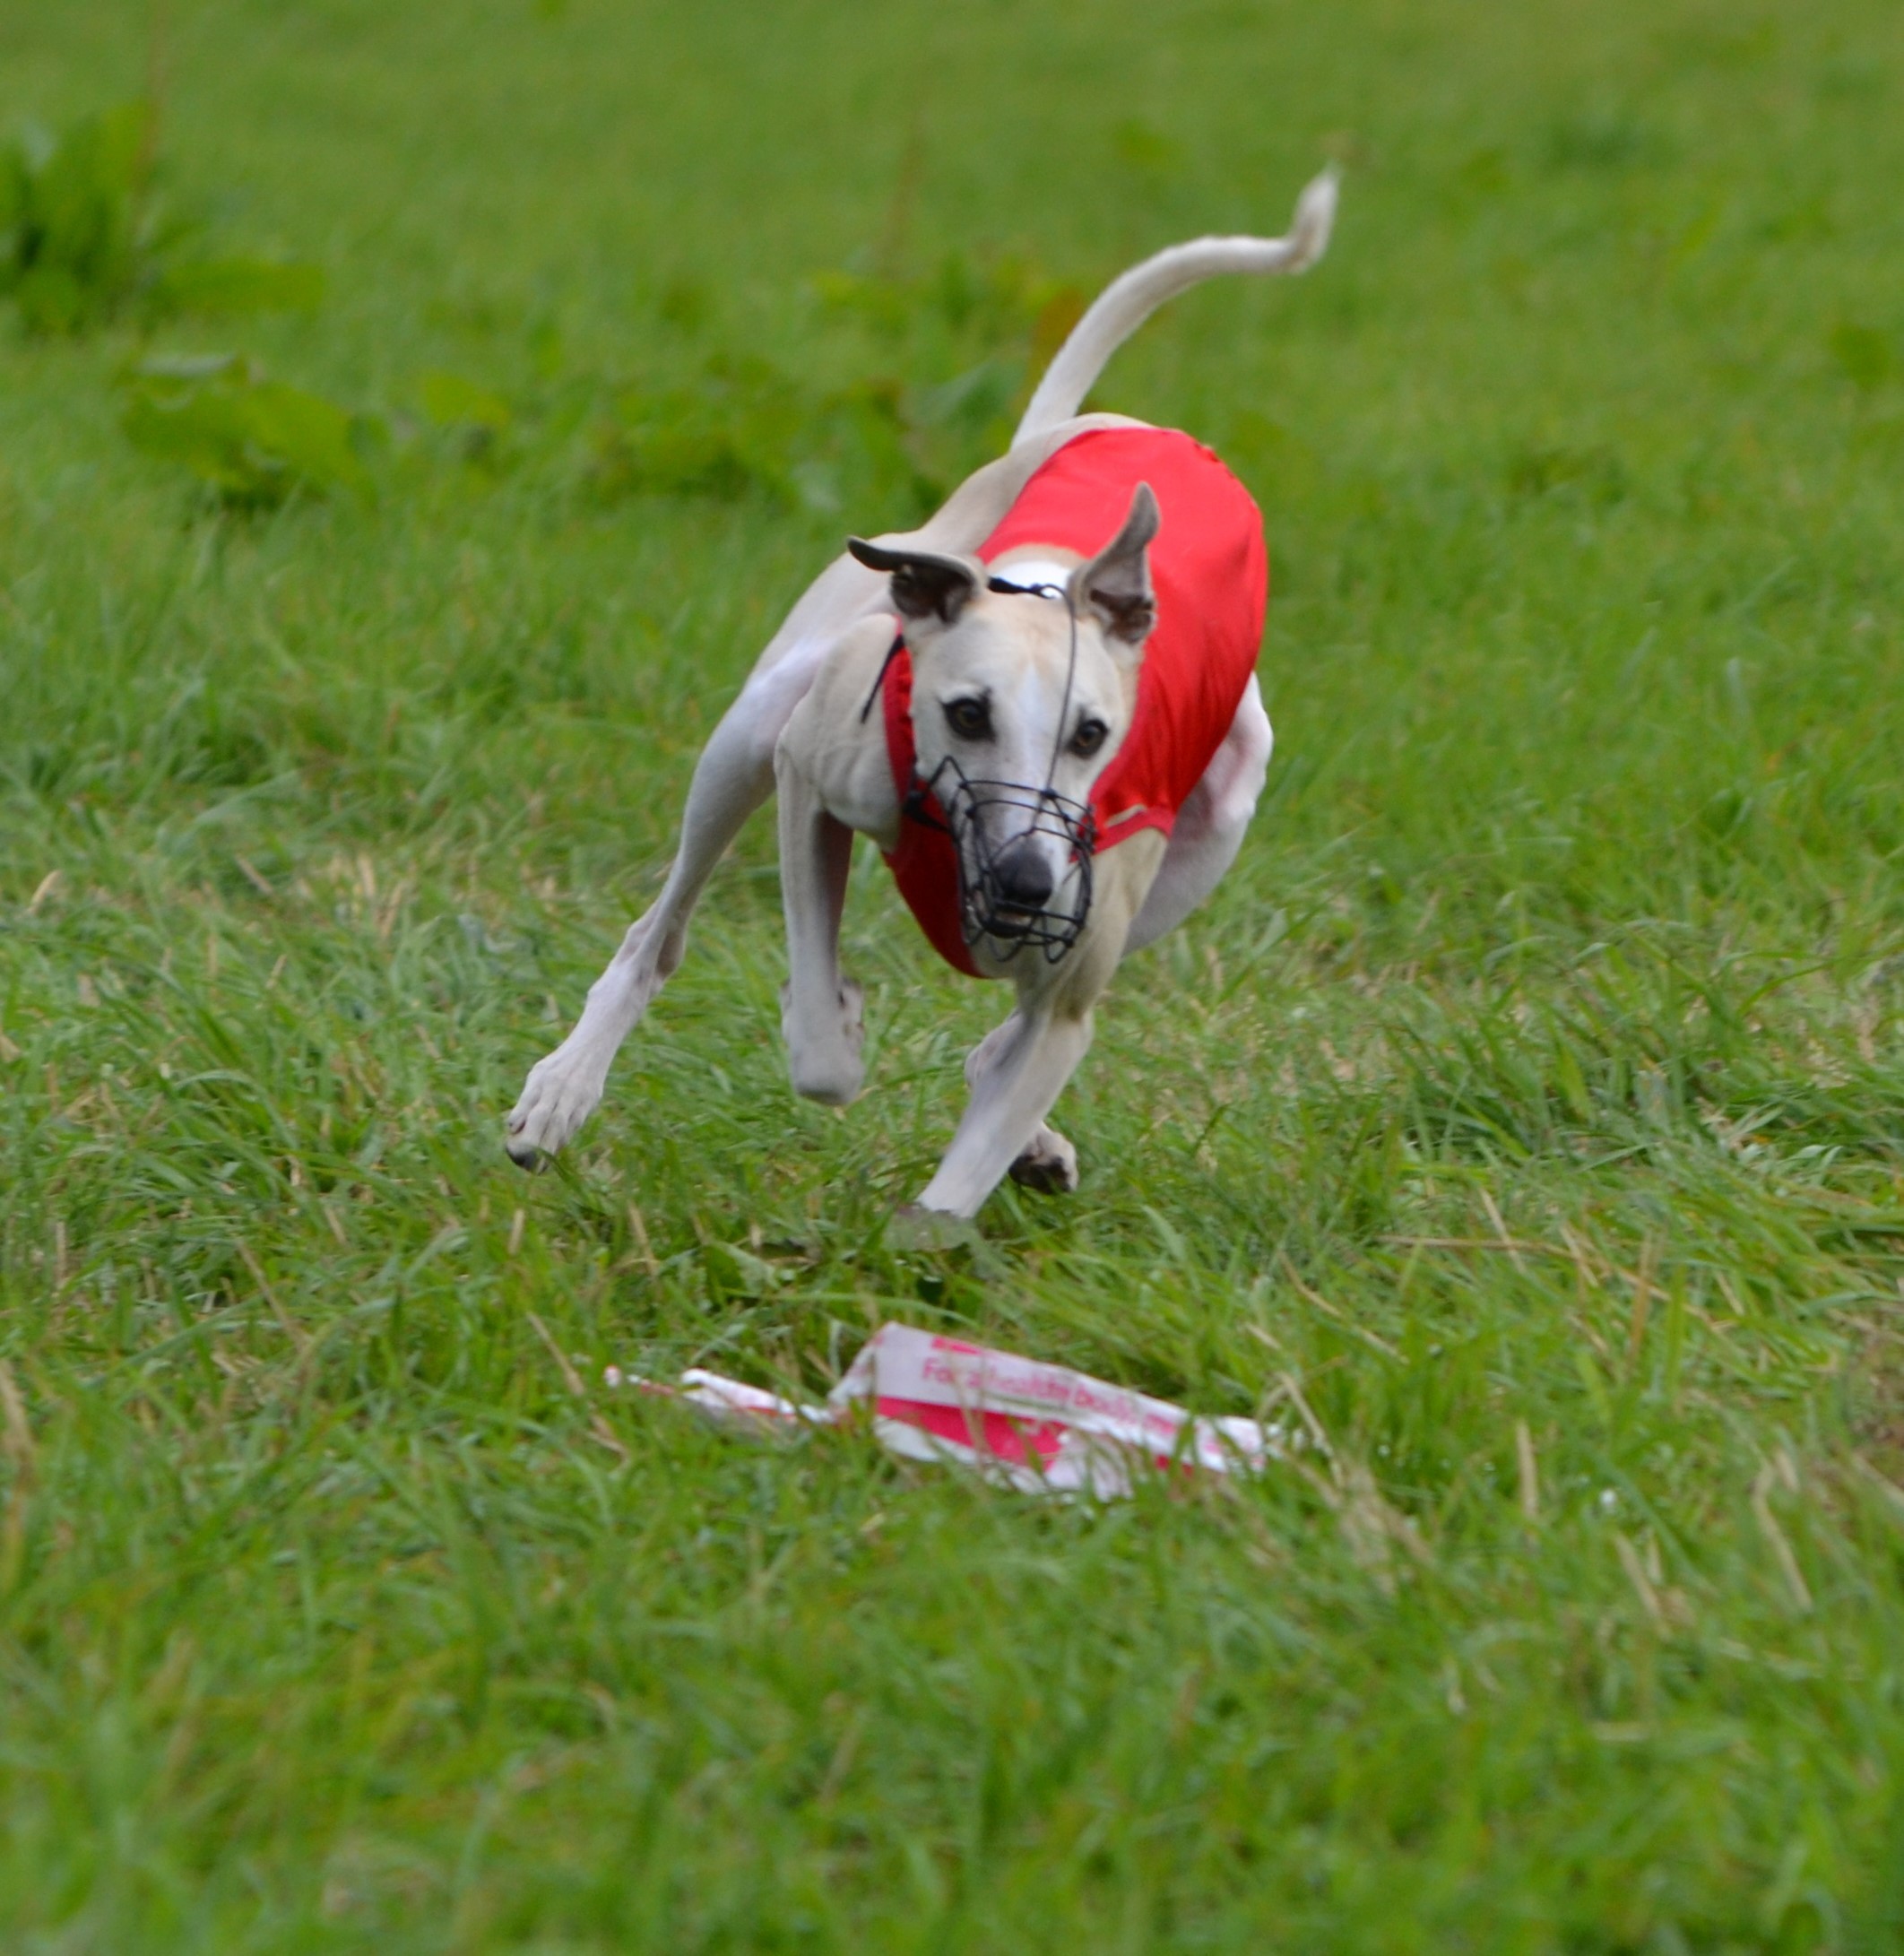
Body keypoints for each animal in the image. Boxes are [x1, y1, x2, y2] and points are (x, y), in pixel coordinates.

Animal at [505, 179, 1338, 1220]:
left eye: (1093, 735)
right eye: (967, 714)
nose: (1026, 882)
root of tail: (1124, 429)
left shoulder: (1078, 962)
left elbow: (1012, 1085)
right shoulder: (808, 774)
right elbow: (821, 1046)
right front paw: (833, 1018)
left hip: (1222, 805)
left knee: (1009, 1040)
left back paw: (1031, 1130)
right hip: (759, 718)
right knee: (653, 935)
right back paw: (564, 1088)